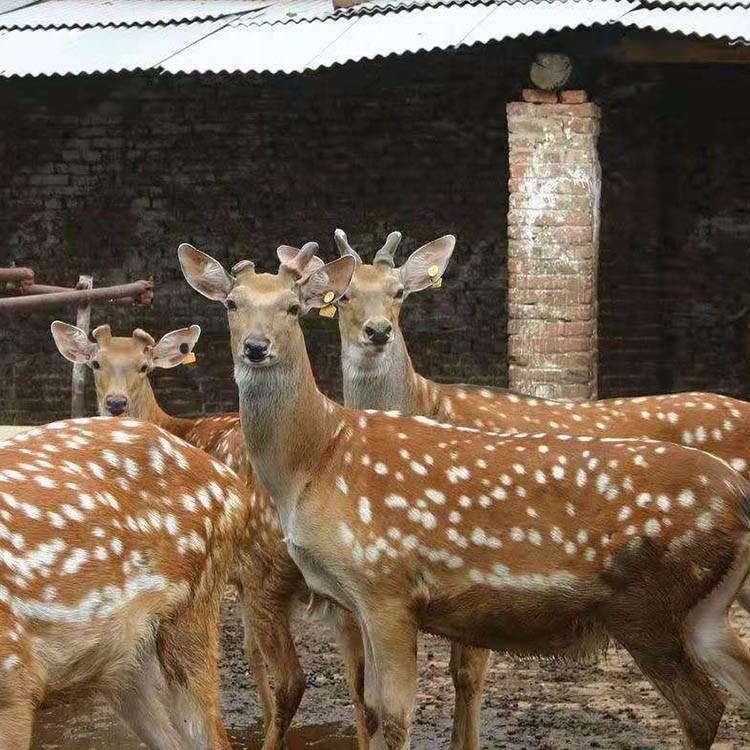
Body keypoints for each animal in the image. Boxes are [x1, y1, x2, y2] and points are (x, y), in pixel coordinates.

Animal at [179, 241, 750, 750]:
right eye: (231, 304)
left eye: (294, 307)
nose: (256, 347)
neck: (315, 461)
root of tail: (739, 494)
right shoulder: (355, 599)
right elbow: (368, 705)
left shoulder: (386, 583)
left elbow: (395, 714)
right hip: (704, 610)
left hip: (649, 603)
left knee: (702, 707)